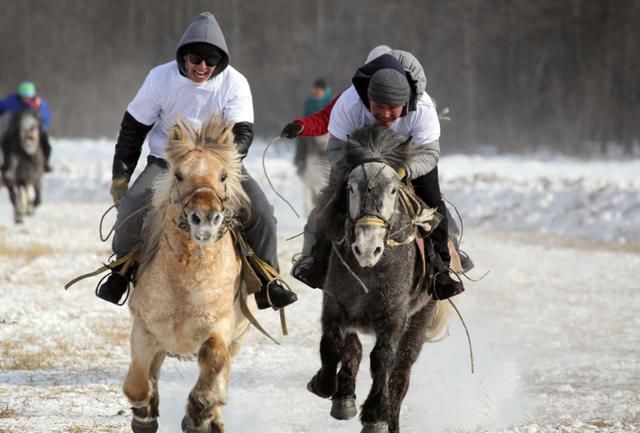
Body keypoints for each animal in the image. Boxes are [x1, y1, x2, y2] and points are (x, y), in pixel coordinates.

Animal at [124, 113, 254, 430]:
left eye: (223, 176)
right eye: (179, 175)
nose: (205, 219)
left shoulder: (221, 325)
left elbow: (214, 358)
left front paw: (200, 411)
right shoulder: (145, 331)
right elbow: (137, 384)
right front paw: (144, 416)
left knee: (223, 370)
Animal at [306, 124, 452, 432]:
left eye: (394, 190)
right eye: (350, 188)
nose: (366, 248)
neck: (372, 269)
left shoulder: (394, 314)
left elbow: (383, 358)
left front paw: (374, 415)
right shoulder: (336, 304)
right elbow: (334, 345)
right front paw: (327, 387)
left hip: (421, 318)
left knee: (401, 373)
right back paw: (344, 397)